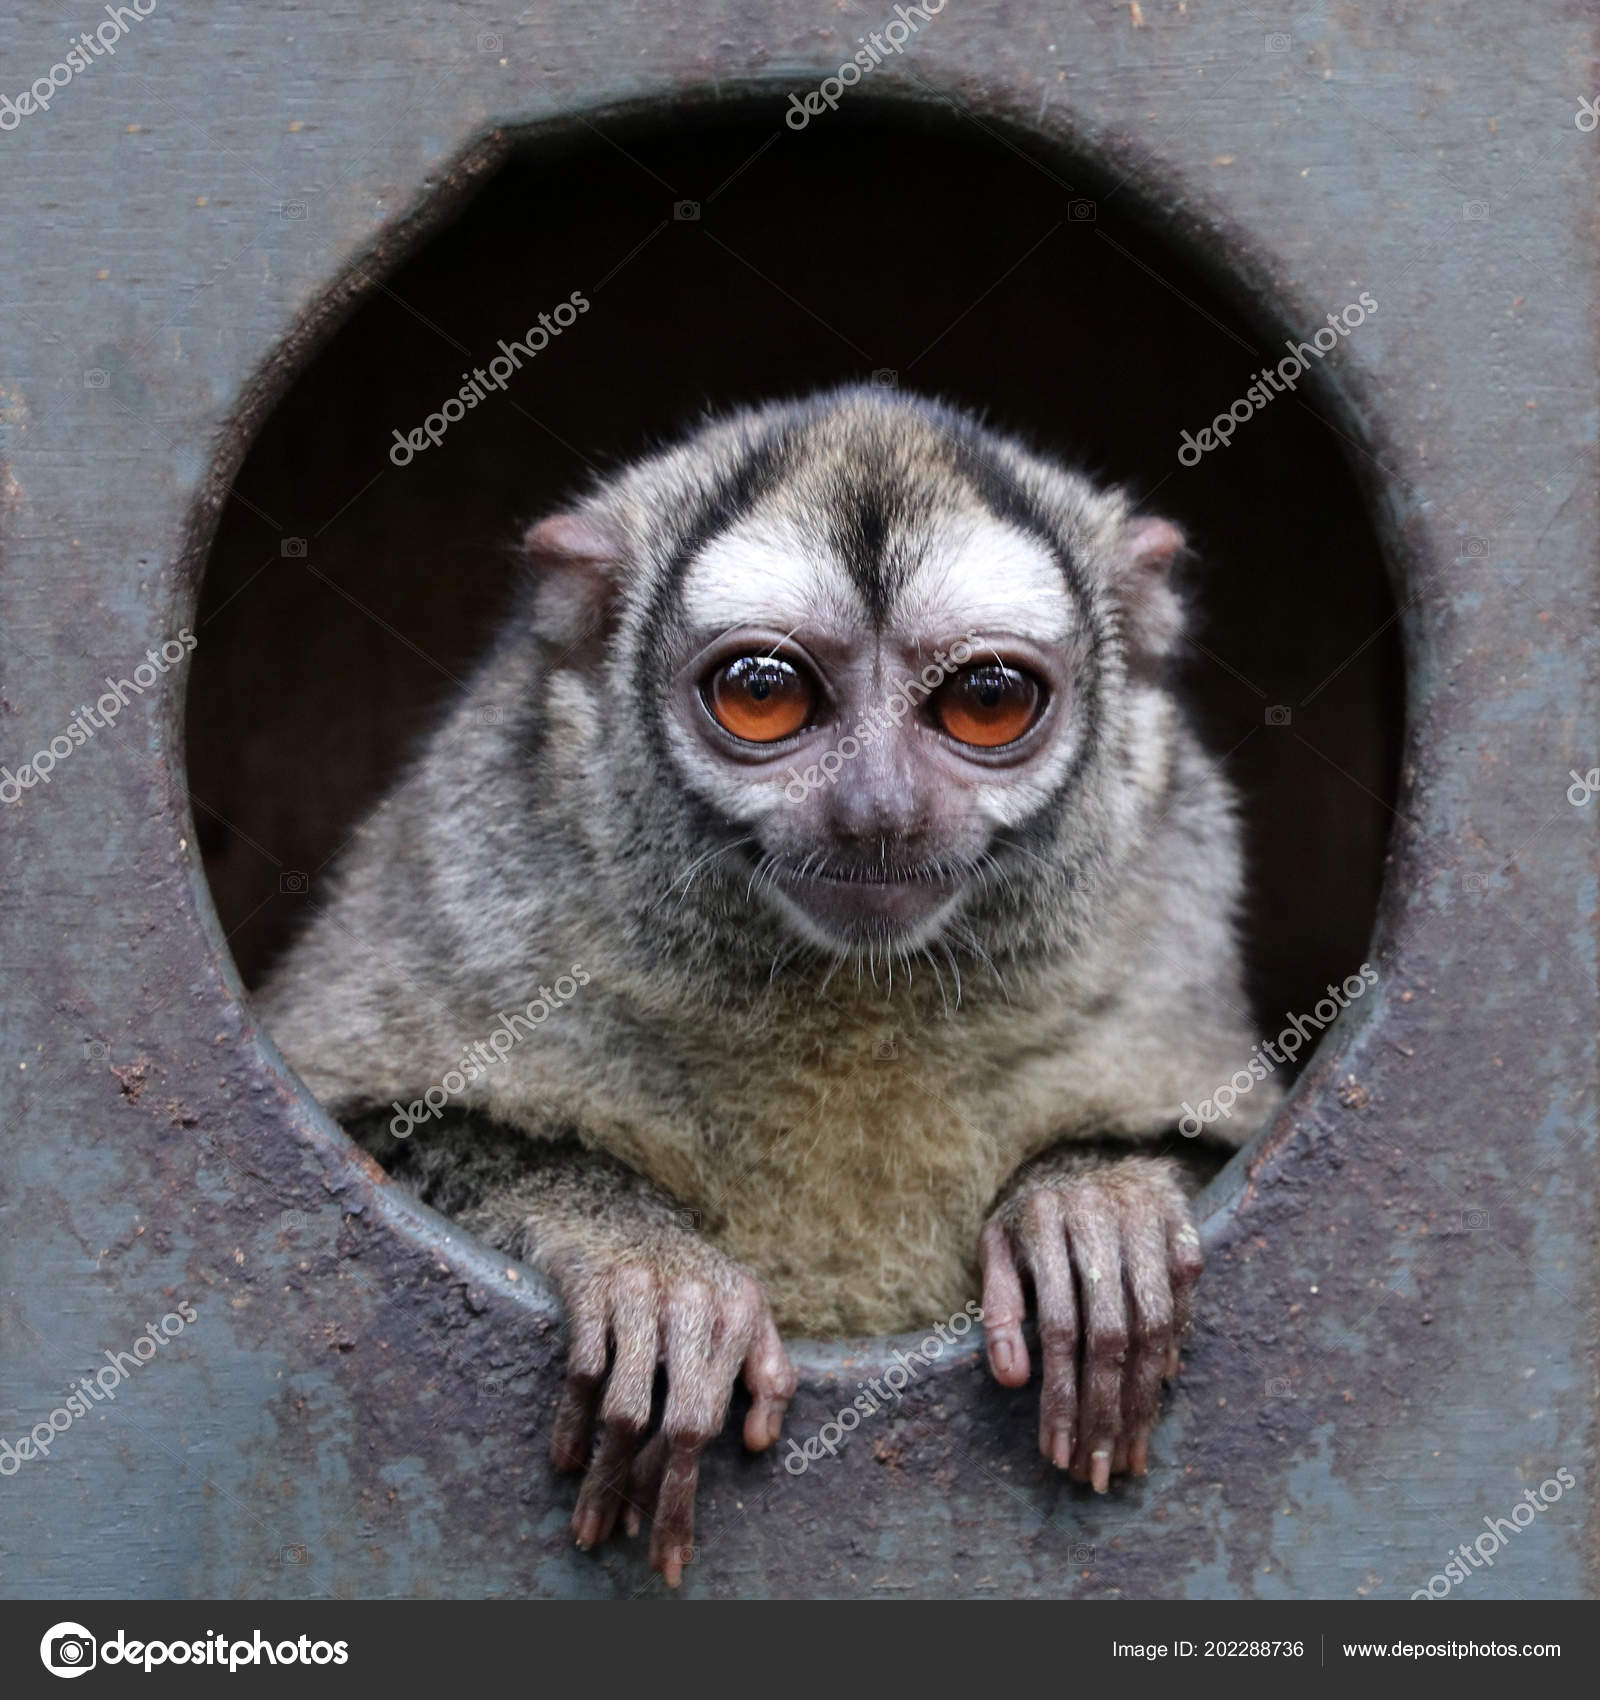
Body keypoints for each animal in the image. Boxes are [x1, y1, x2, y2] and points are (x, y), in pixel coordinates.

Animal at [256, 385, 1280, 1587]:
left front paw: (1093, 1215)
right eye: (763, 695)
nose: (879, 812)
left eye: (985, 699)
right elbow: (375, 1137)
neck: (854, 993)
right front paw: (652, 1278)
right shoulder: (470, 877)